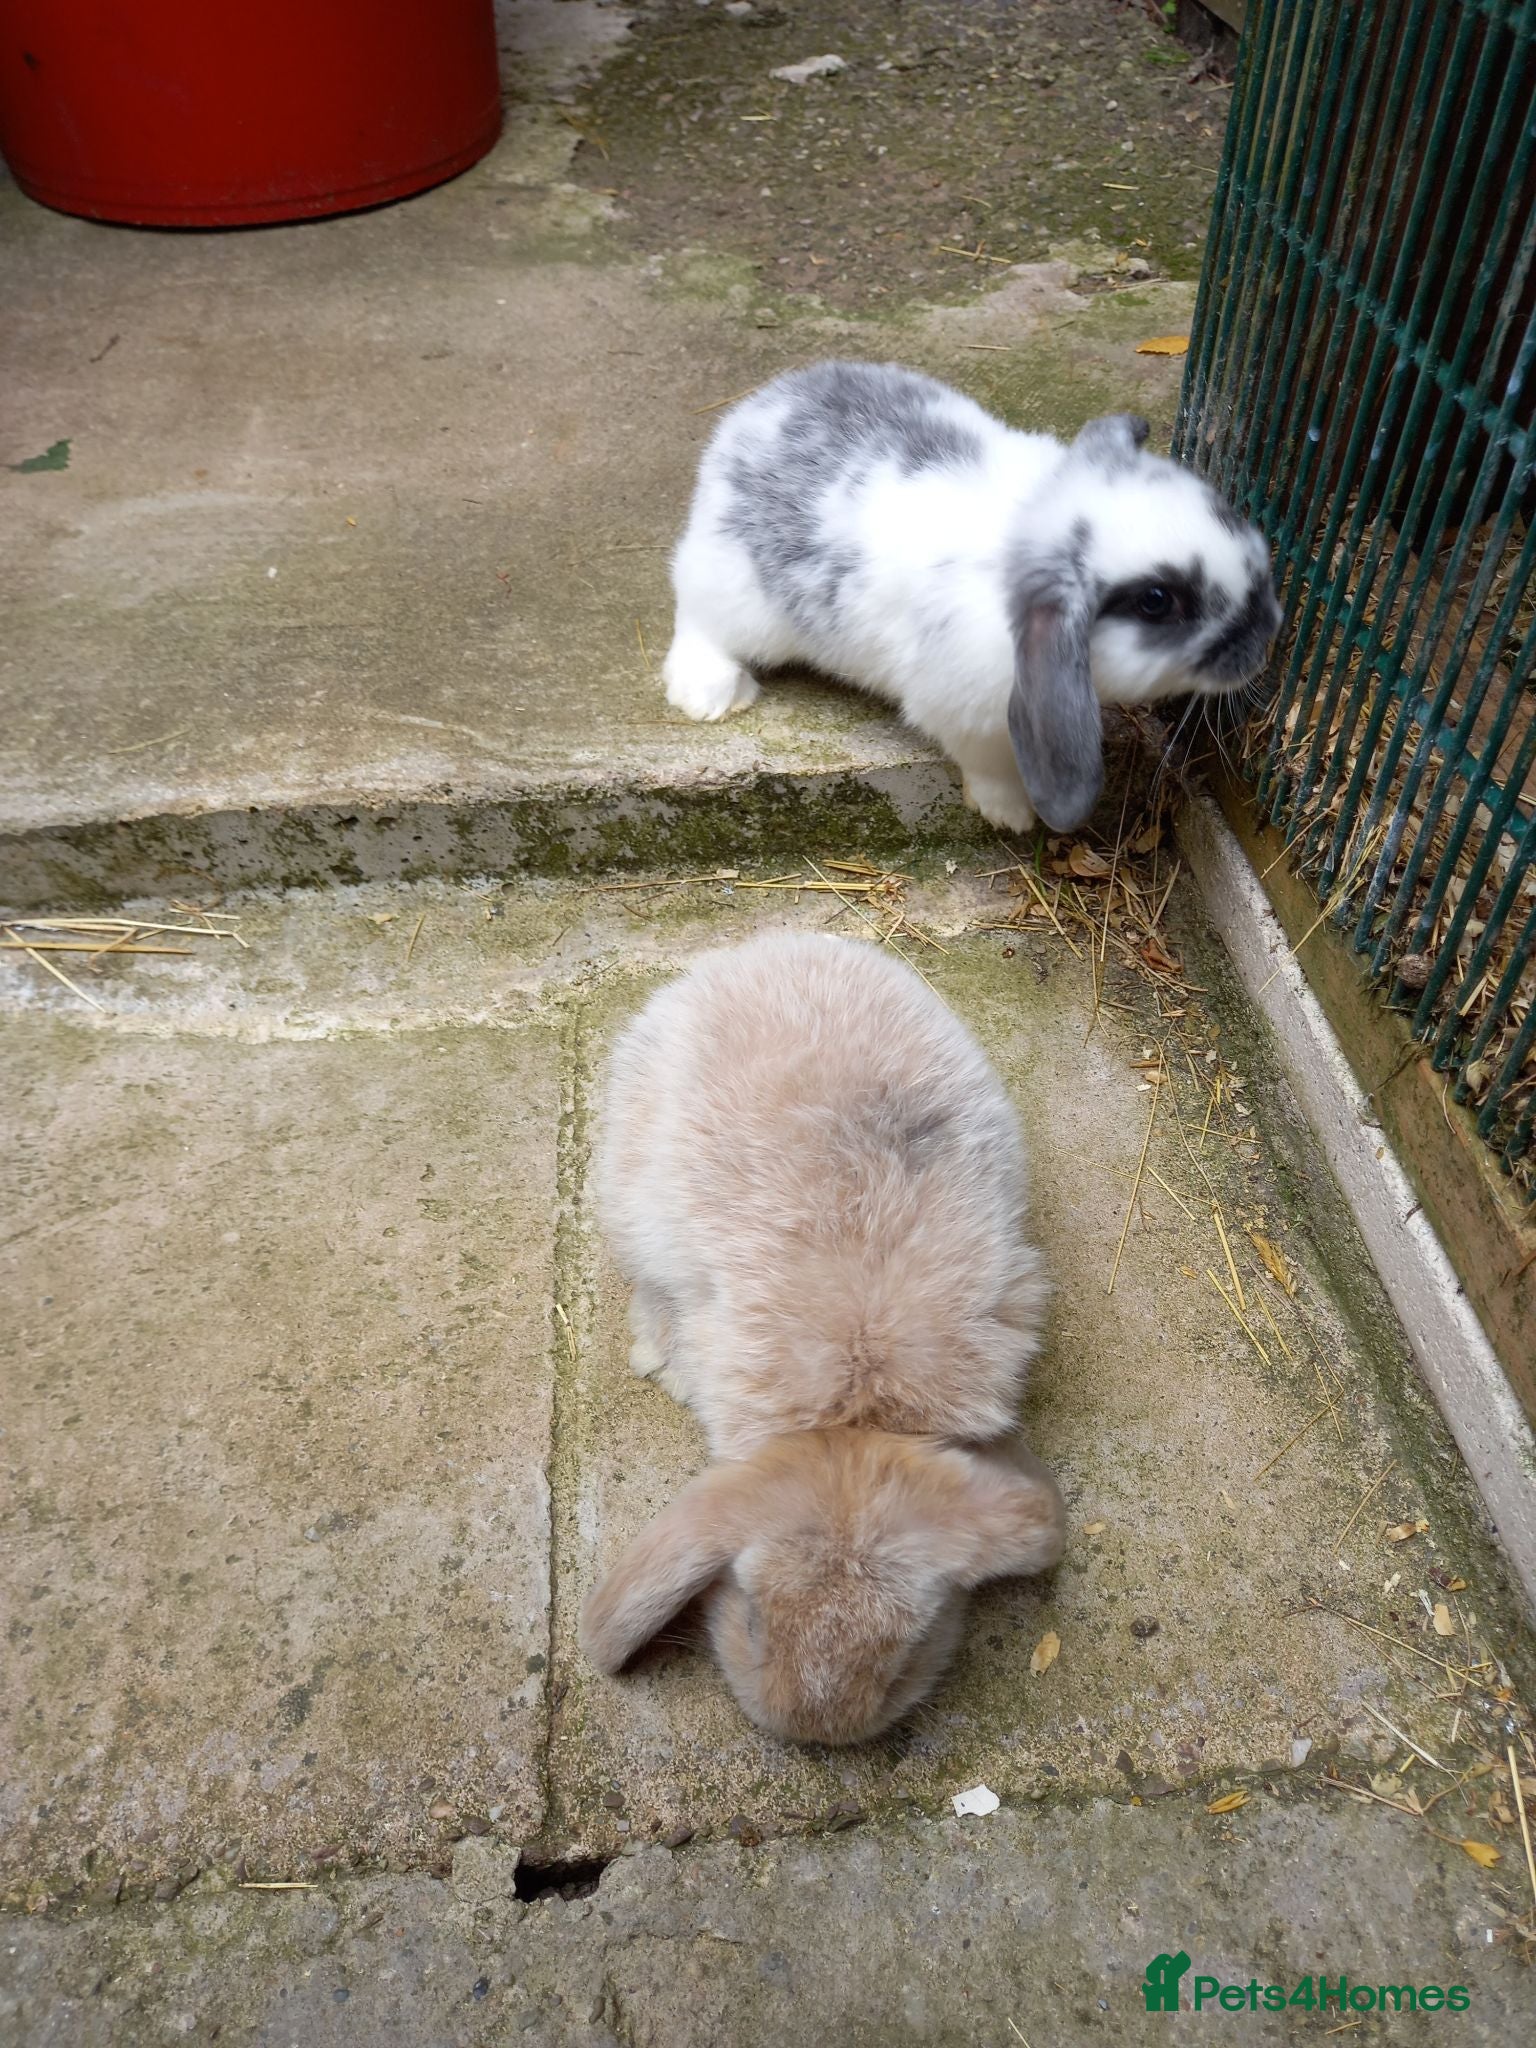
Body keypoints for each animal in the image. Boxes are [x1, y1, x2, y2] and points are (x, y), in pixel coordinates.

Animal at [579, 931, 1065, 1746]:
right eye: (750, 1615)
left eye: (908, 1651)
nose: (814, 1732)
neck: (857, 1411)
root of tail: (763, 947)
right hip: (632, 1184)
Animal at [662, 358, 1281, 834]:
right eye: (1156, 600)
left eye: (1222, 511)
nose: (1266, 636)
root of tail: (747, 418)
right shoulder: (965, 711)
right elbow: (989, 765)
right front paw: (1013, 815)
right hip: (738, 596)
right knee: (697, 617)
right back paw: (712, 695)